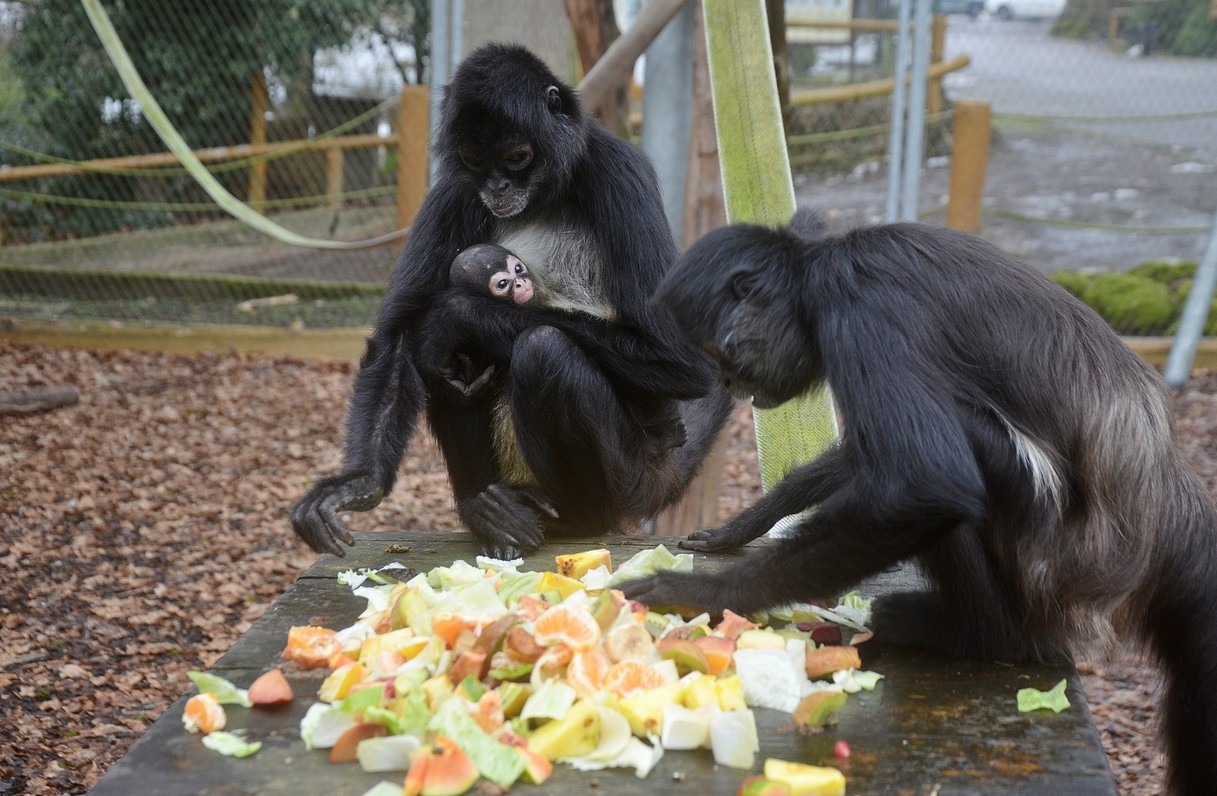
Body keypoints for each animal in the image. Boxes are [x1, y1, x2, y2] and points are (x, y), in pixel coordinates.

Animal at [291, 43, 731, 561]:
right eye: (473, 159)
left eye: (517, 157)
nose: (497, 187)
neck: (545, 196)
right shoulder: (456, 186)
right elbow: (399, 334)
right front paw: (359, 483)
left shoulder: (619, 169)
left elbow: (681, 358)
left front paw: (453, 313)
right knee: (444, 363)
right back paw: (488, 511)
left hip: (628, 477)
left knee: (541, 349)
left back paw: (570, 515)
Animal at [619, 209, 1217, 795]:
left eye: (720, 354)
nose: (728, 383)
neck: (823, 266)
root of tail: (1163, 497)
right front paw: (746, 524)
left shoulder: (858, 306)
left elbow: (927, 482)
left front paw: (700, 593)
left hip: (1051, 565)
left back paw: (976, 635)